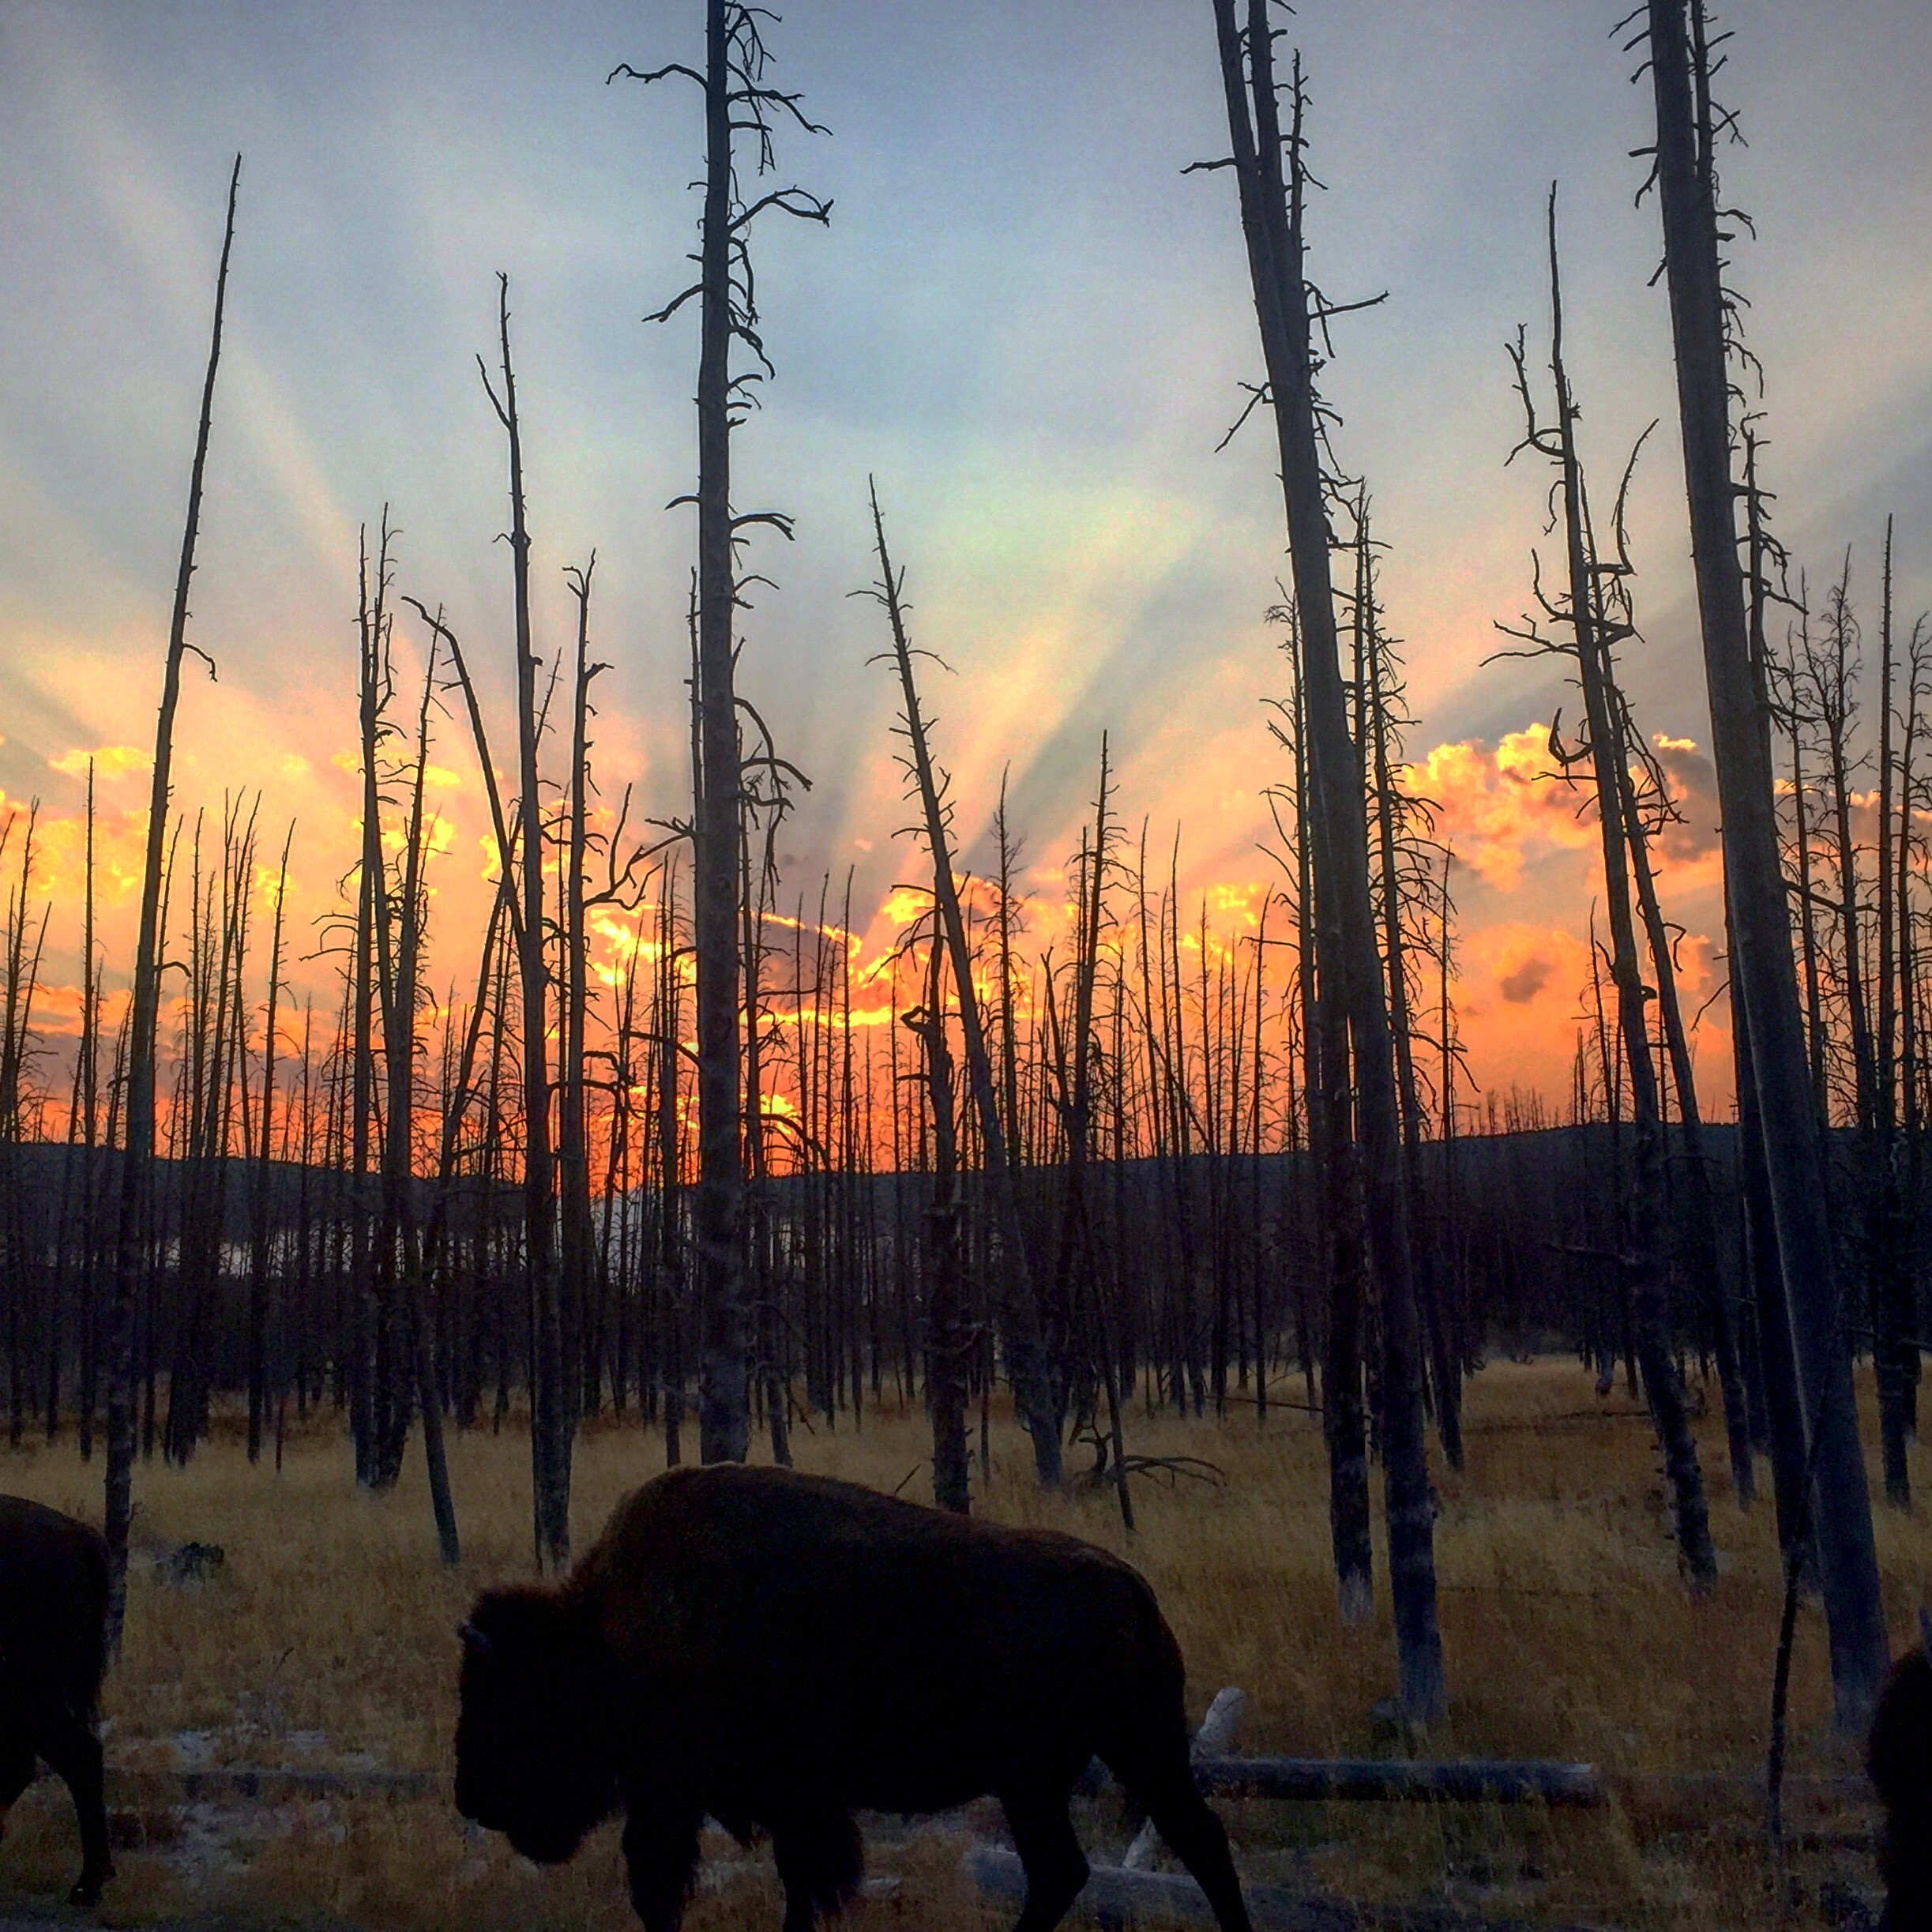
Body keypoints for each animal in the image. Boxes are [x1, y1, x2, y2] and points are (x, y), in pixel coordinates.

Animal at [460, 1460, 1259, 1932]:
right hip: (1105, 1760)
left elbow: (689, 1885)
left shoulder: (698, 1796)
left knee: (1111, 1858)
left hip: (1077, 1768)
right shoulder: (772, 1803)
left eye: (506, 1700)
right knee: (1149, 1850)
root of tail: (1131, 1588)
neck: (602, 1634)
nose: (472, 1798)